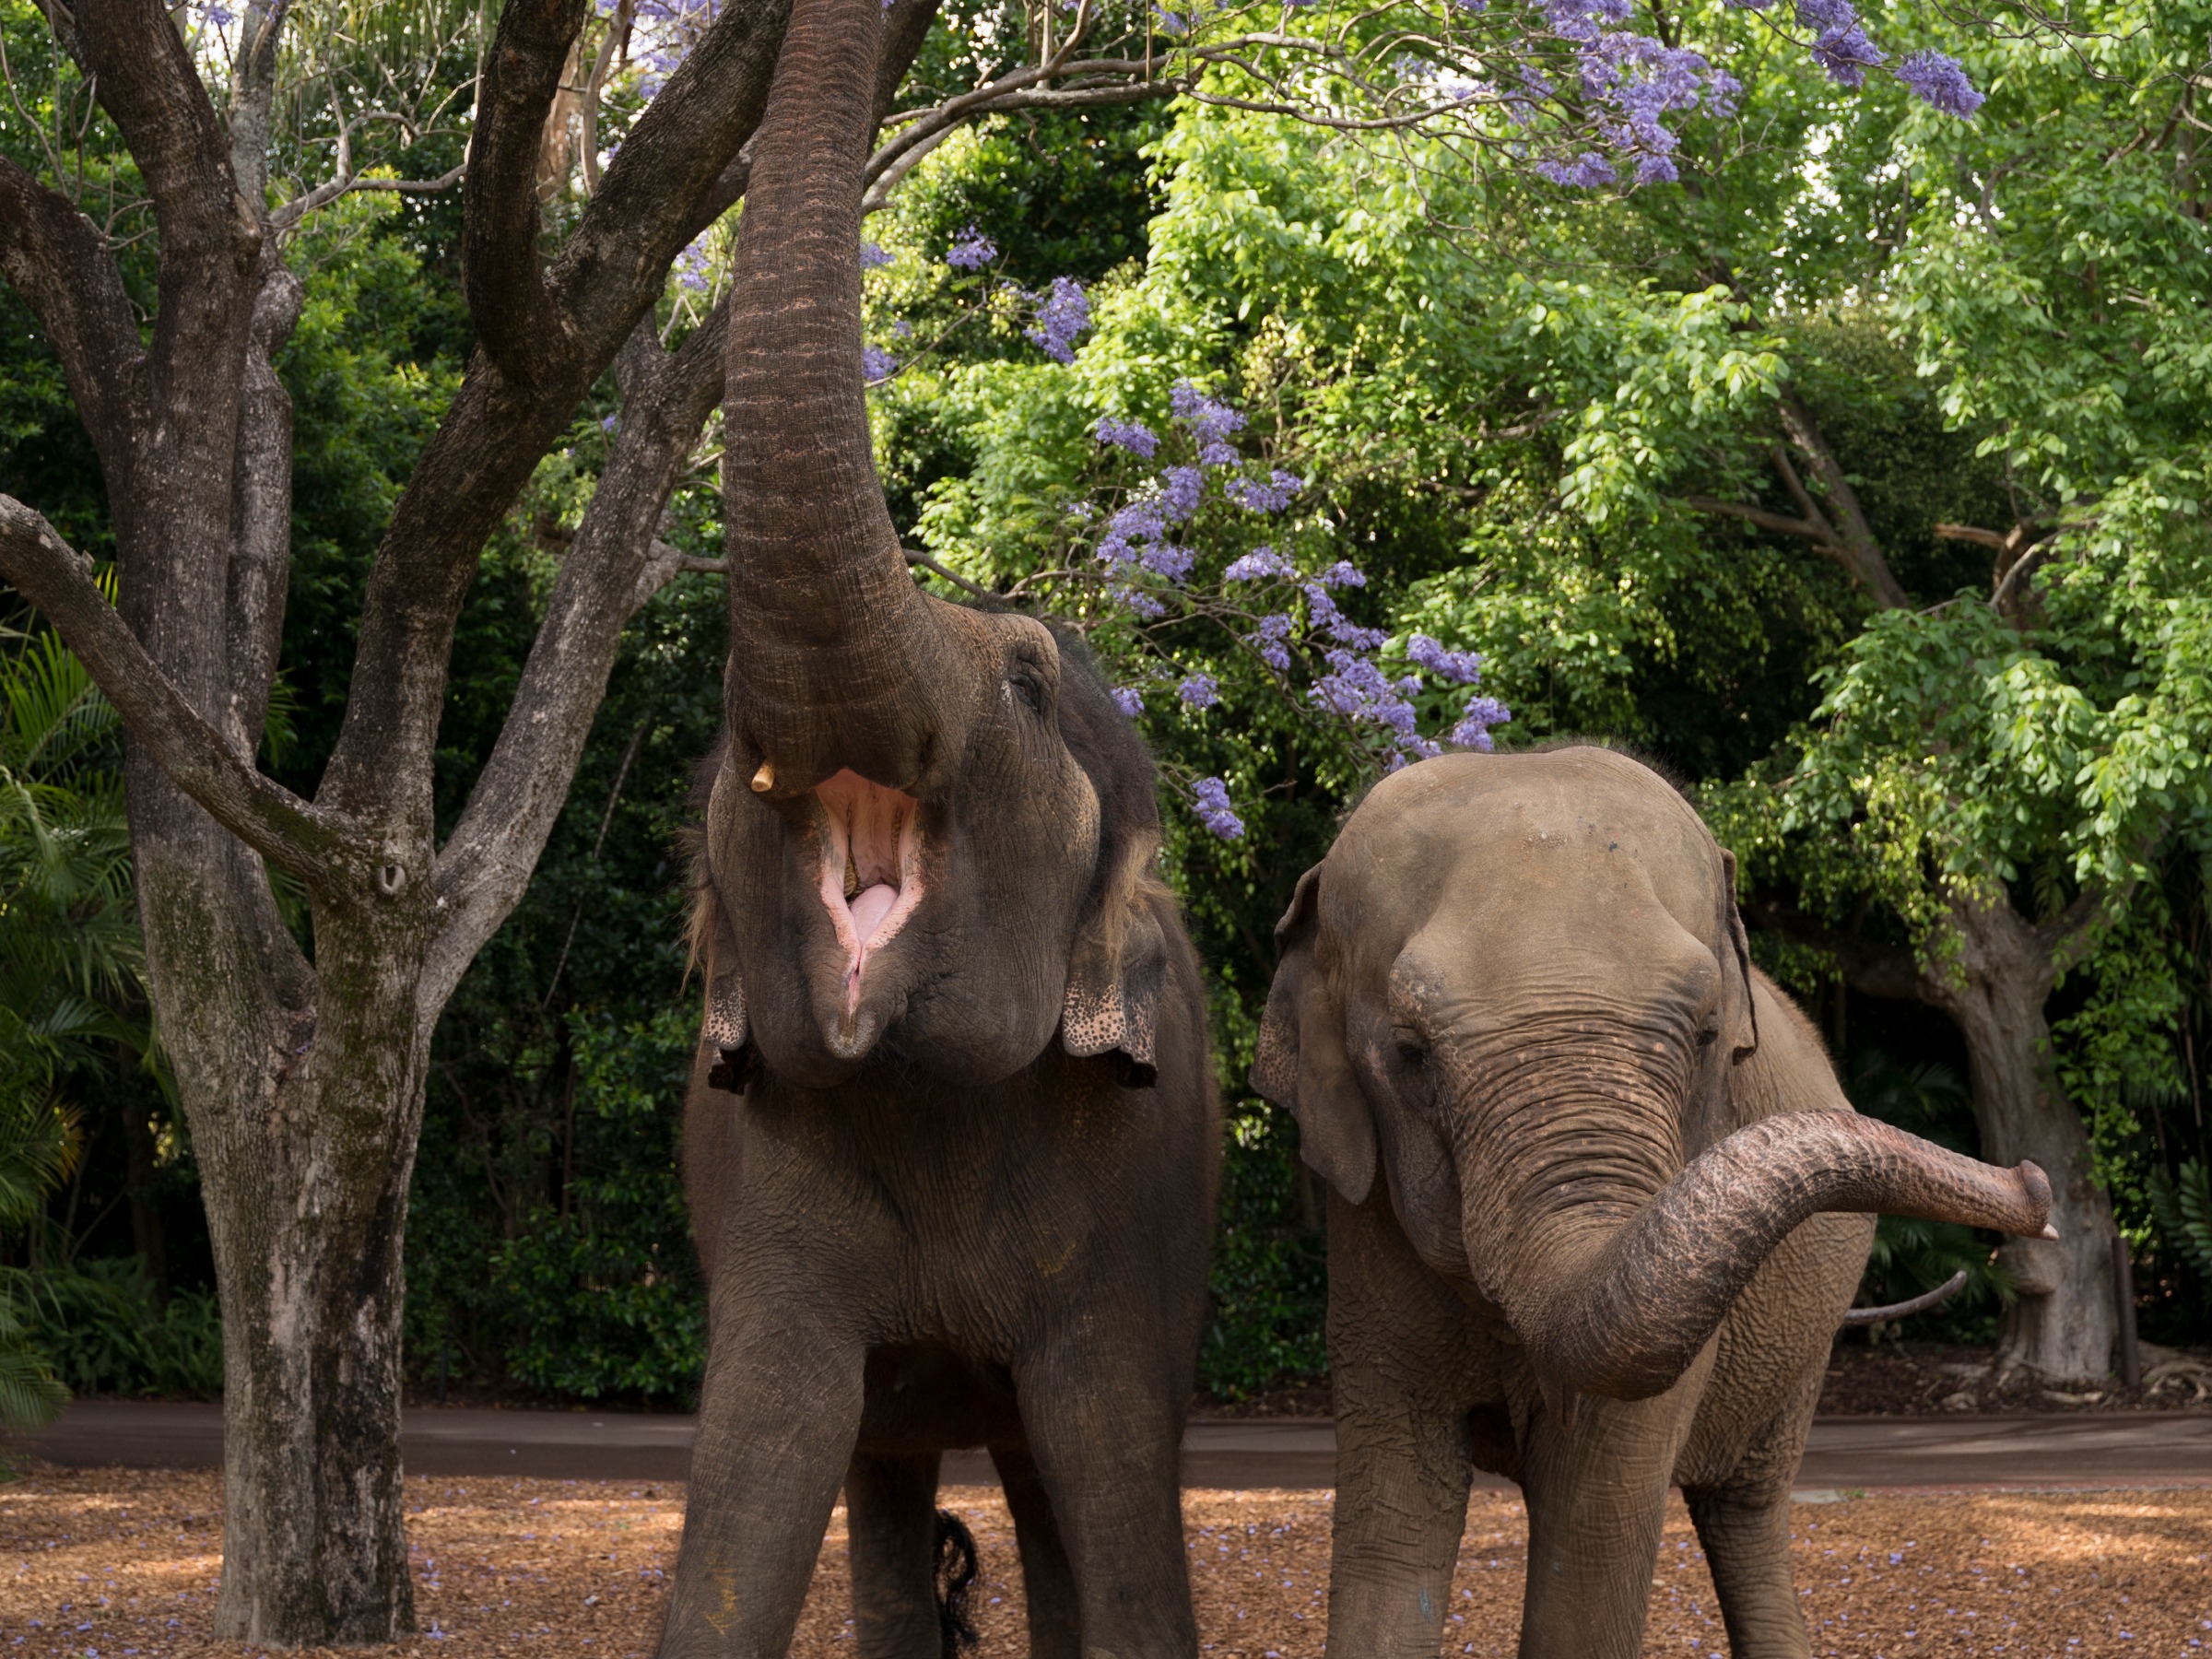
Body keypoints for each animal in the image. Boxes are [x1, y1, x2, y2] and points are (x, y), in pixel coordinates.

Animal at [653, 0, 1217, 1655]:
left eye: (1027, 683)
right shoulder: (763, 1172)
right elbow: (760, 1461)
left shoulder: (1130, 1198)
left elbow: (1113, 1464)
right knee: (889, 1470)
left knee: (1035, 1478)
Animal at [1251, 744, 2055, 1659]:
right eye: (1410, 1053)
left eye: (1707, 1035)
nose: (2034, 1185)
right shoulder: (1366, 1233)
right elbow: (1394, 1521)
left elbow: (1594, 1539)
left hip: (1805, 1344)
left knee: (1745, 1510)